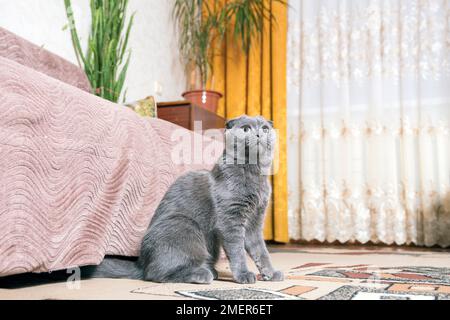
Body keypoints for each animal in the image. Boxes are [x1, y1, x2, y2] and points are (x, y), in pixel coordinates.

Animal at [85, 115, 284, 284]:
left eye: (265, 128)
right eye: (245, 128)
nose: (259, 133)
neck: (254, 174)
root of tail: (141, 262)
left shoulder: (254, 223)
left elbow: (261, 251)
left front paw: (271, 273)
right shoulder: (230, 220)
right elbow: (237, 251)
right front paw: (244, 275)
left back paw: (211, 270)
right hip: (186, 227)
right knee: (156, 274)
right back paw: (203, 274)